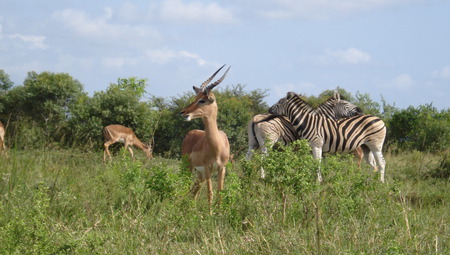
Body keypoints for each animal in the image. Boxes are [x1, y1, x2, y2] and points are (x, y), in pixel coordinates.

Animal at [179, 64, 230, 206]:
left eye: (202, 100)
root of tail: (190, 133)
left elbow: (219, 193)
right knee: (185, 186)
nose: (183, 112)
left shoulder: (221, 169)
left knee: (194, 191)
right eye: (195, 98)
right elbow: (210, 193)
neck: (218, 146)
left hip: (199, 174)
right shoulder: (208, 167)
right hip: (188, 166)